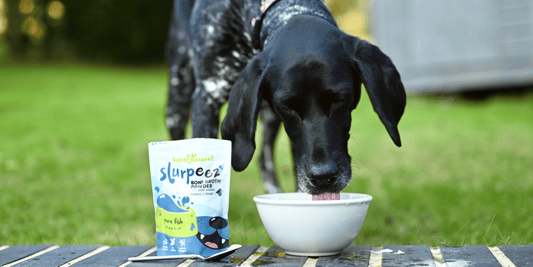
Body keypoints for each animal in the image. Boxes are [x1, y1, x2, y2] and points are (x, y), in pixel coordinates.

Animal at [164, 0, 406, 197]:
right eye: (287, 105)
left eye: (340, 98)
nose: (323, 178)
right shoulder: (207, 97)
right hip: (178, 96)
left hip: (269, 117)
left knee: (264, 157)